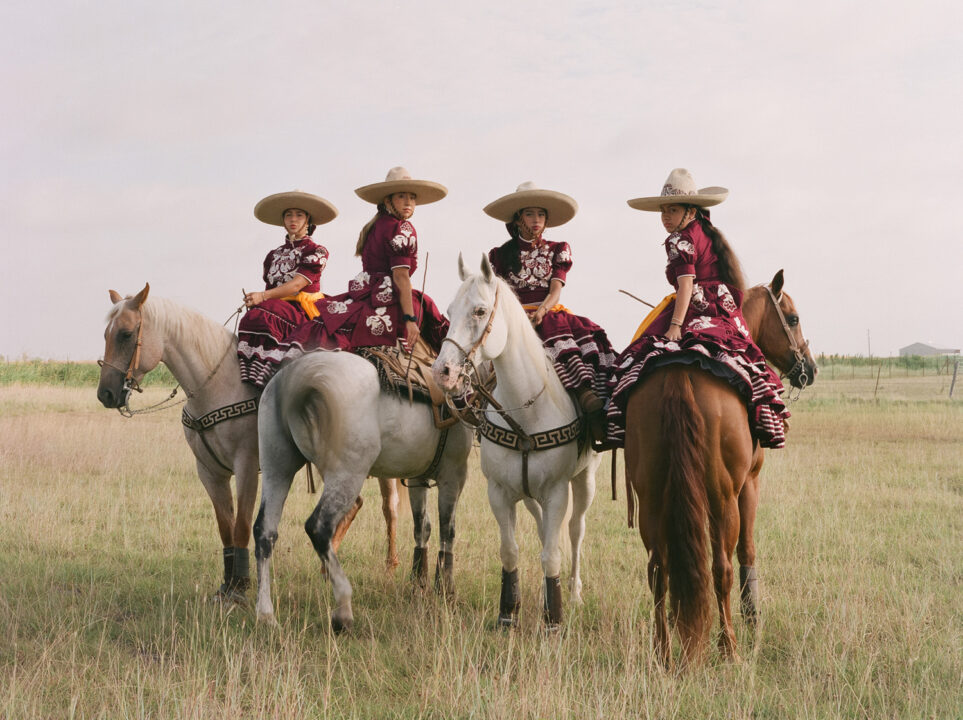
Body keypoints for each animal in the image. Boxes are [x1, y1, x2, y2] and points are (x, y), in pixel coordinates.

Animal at [100, 284, 408, 604]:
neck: (218, 385)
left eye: (126, 334)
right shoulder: (209, 472)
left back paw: (387, 566)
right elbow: (225, 527)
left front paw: (240, 588)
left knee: (388, 508)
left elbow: (242, 526)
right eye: (106, 334)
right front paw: (226, 587)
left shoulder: (247, 467)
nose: (106, 394)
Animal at [250, 342, 472, 632]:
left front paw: (419, 584)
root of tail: (299, 378)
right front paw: (446, 590)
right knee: (319, 527)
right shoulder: (454, 475)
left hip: (277, 468)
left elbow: (421, 527)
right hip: (347, 474)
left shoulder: (416, 478)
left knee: (264, 531)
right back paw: (343, 610)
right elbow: (448, 531)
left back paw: (266, 614)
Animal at [434, 256, 600, 628]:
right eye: (450, 310)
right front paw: (508, 613)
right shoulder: (500, 492)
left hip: (585, 481)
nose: (443, 373)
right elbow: (510, 551)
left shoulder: (556, 492)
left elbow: (553, 554)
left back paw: (575, 592)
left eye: (480, 311)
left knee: (575, 532)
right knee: (541, 532)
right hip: (527, 495)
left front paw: (554, 619)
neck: (528, 412)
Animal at [624, 270, 820, 668]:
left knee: (658, 570)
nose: (810, 368)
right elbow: (747, 551)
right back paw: (728, 646)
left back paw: (663, 651)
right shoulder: (750, 483)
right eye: (793, 318)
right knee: (721, 568)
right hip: (722, 495)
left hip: (651, 496)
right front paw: (753, 616)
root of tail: (679, 374)